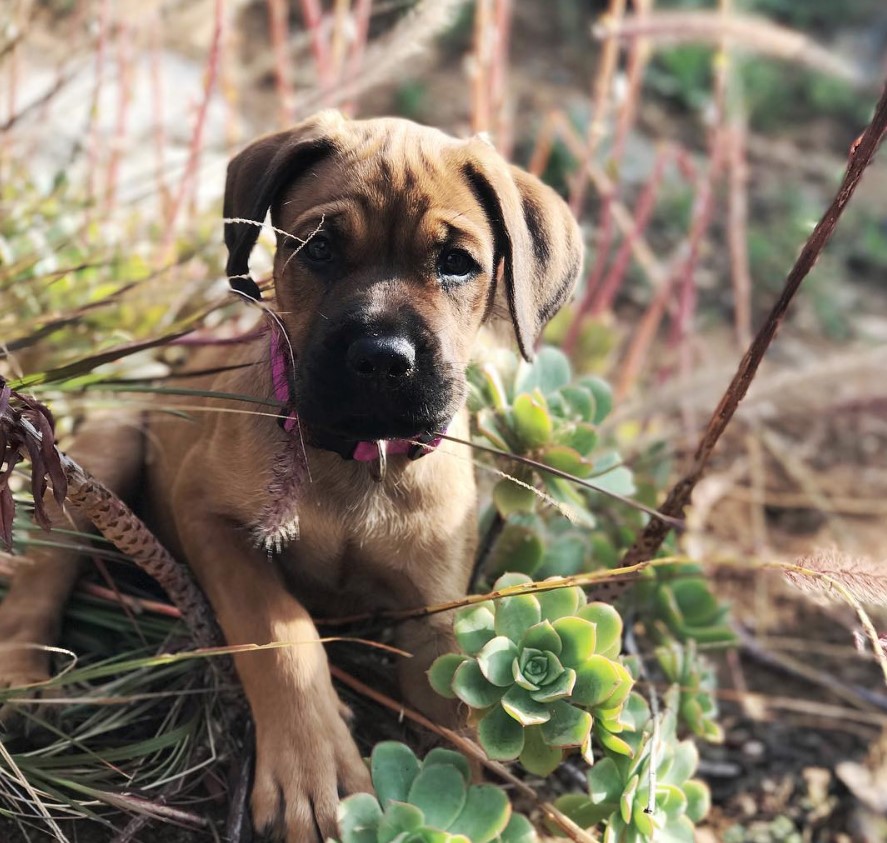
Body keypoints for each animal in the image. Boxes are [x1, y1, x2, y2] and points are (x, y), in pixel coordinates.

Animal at [0, 110, 584, 836]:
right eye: (319, 248)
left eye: (457, 263)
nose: (382, 358)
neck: (358, 459)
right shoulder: (210, 517)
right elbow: (281, 626)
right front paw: (313, 764)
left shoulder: (436, 614)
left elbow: (464, 732)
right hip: (105, 457)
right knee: (45, 567)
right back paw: (23, 667)